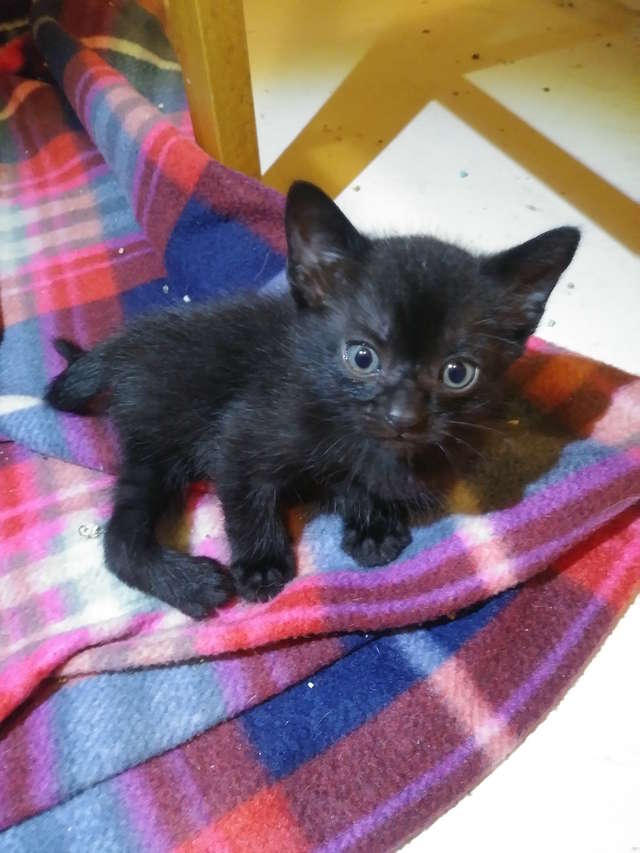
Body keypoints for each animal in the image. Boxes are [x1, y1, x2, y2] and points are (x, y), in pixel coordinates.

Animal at [43, 183, 580, 616]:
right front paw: (261, 564)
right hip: (160, 434)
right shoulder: (239, 434)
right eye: (362, 357)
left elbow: (357, 479)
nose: (402, 415)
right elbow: (249, 496)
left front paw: (371, 523)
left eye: (457, 373)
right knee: (118, 541)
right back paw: (190, 583)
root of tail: (124, 344)